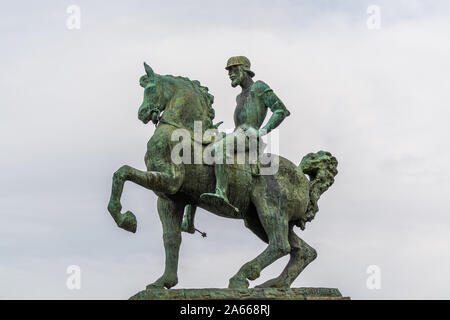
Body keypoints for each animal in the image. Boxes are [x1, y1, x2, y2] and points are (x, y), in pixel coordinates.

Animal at [106, 62, 338, 290]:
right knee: (302, 251)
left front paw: (125, 219)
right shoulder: (169, 199)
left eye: (150, 87)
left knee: (280, 245)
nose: (143, 113)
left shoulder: (170, 182)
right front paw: (164, 281)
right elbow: (172, 239)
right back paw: (275, 284)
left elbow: (123, 172)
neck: (180, 133)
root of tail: (302, 177)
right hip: (256, 218)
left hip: (270, 209)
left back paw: (243, 275)